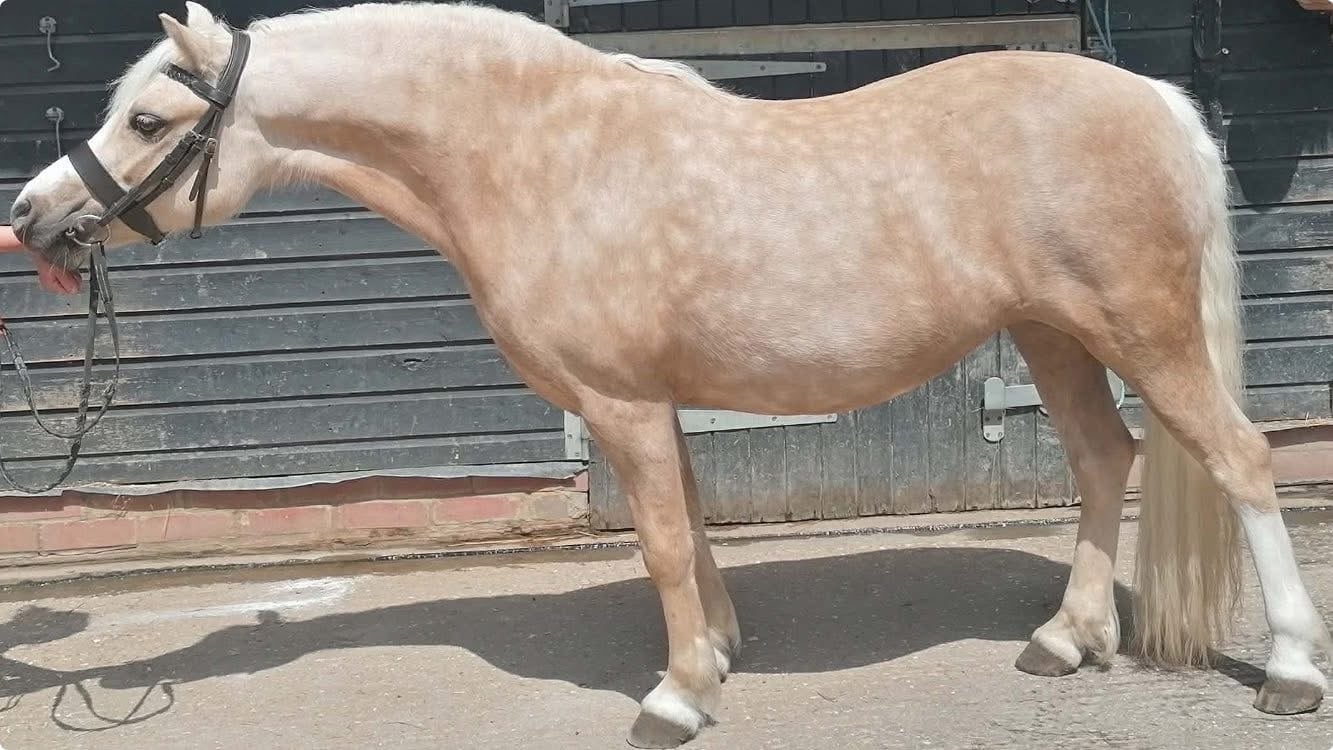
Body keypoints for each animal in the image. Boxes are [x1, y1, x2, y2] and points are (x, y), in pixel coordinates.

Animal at [10, 3, 1330, 746]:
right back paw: (1066, 638)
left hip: (1141, 329)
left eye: (146, 120)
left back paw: (1287, 670)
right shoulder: (654, 403)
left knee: (1238, 461)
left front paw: (679, 697)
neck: (540, 158)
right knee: (1107, 456)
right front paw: (723, 650)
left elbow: (655, 545)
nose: (31, 217)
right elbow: (691, 527)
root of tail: (1151, 97)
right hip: (1055, 336)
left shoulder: (623, 402)